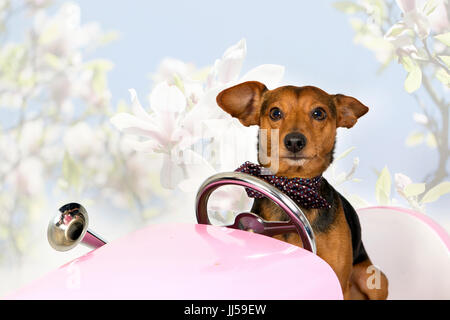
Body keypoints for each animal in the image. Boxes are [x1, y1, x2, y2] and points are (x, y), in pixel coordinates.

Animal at [216, 80, 388, 300]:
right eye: (275, 113)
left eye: (318, 113)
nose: (294, 141)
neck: (294, 189)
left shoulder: (339, 281)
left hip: (374, 280)